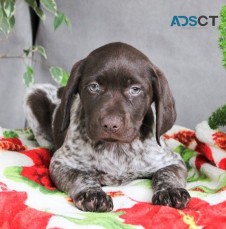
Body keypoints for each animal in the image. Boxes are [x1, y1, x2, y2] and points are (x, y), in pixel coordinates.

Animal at [24, 42, 191, 211]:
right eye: (93, 87)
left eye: (135, 89)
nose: (110, 124)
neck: (117, 148)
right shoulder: (62, 163)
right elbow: (81, 176)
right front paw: (92, 192)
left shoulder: (173, 161)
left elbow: (165, 174)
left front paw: (170, 190)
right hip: (33, 94)